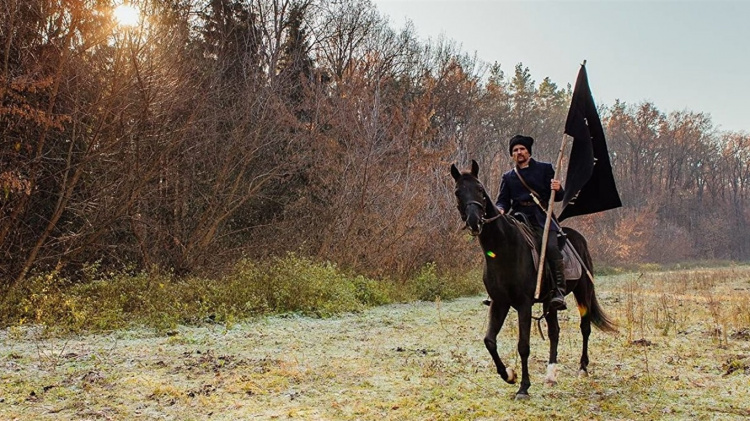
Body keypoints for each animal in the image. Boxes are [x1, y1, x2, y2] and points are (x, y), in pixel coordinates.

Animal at [452, 159, 616, 398]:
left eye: (480, 189)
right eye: (457, 192)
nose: (474, 222)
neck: (504, 248)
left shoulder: (523, 304)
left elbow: (523, 345)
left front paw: (523, 388)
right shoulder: (500, 303)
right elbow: (489, 341)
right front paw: (509, 375)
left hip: (583, 291)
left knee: (585, 327)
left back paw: (583, 368)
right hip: (550, 300)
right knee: (554, 332)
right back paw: (551, 375)